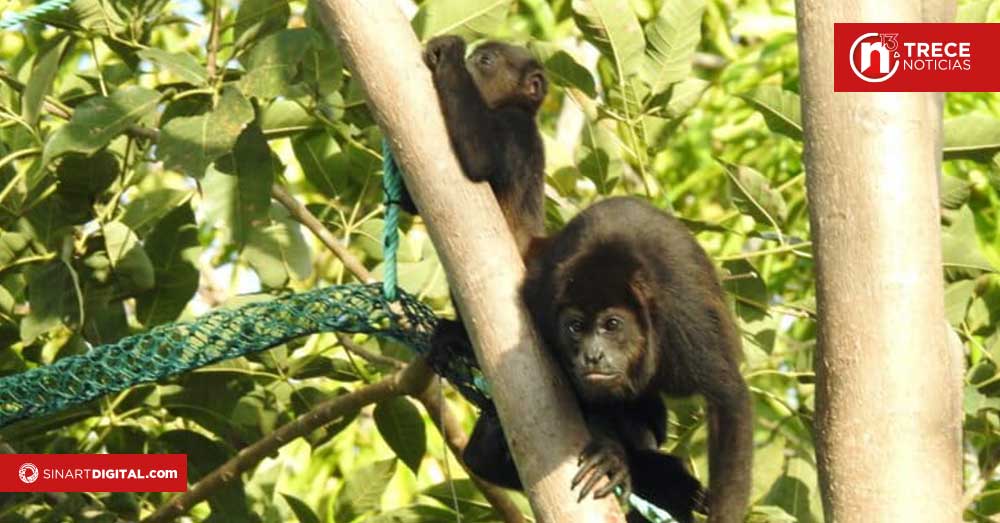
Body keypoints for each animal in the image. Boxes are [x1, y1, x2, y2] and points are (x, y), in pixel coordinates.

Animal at [518, 196, 753, 523]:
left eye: (612, 325)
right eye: (575, 327)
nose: (593, 355)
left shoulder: (686, 319)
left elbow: (729, 402)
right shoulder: (542, 306)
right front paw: (610, 456)